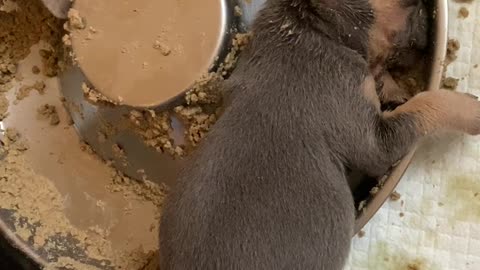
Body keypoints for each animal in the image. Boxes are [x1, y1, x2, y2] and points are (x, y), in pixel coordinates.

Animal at [158, 1, 480, 268]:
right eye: (410, 4)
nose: (429, 14)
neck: (310, 24)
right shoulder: (373, 140)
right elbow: (424, 104)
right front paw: (470, 109)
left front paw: (393, 87)